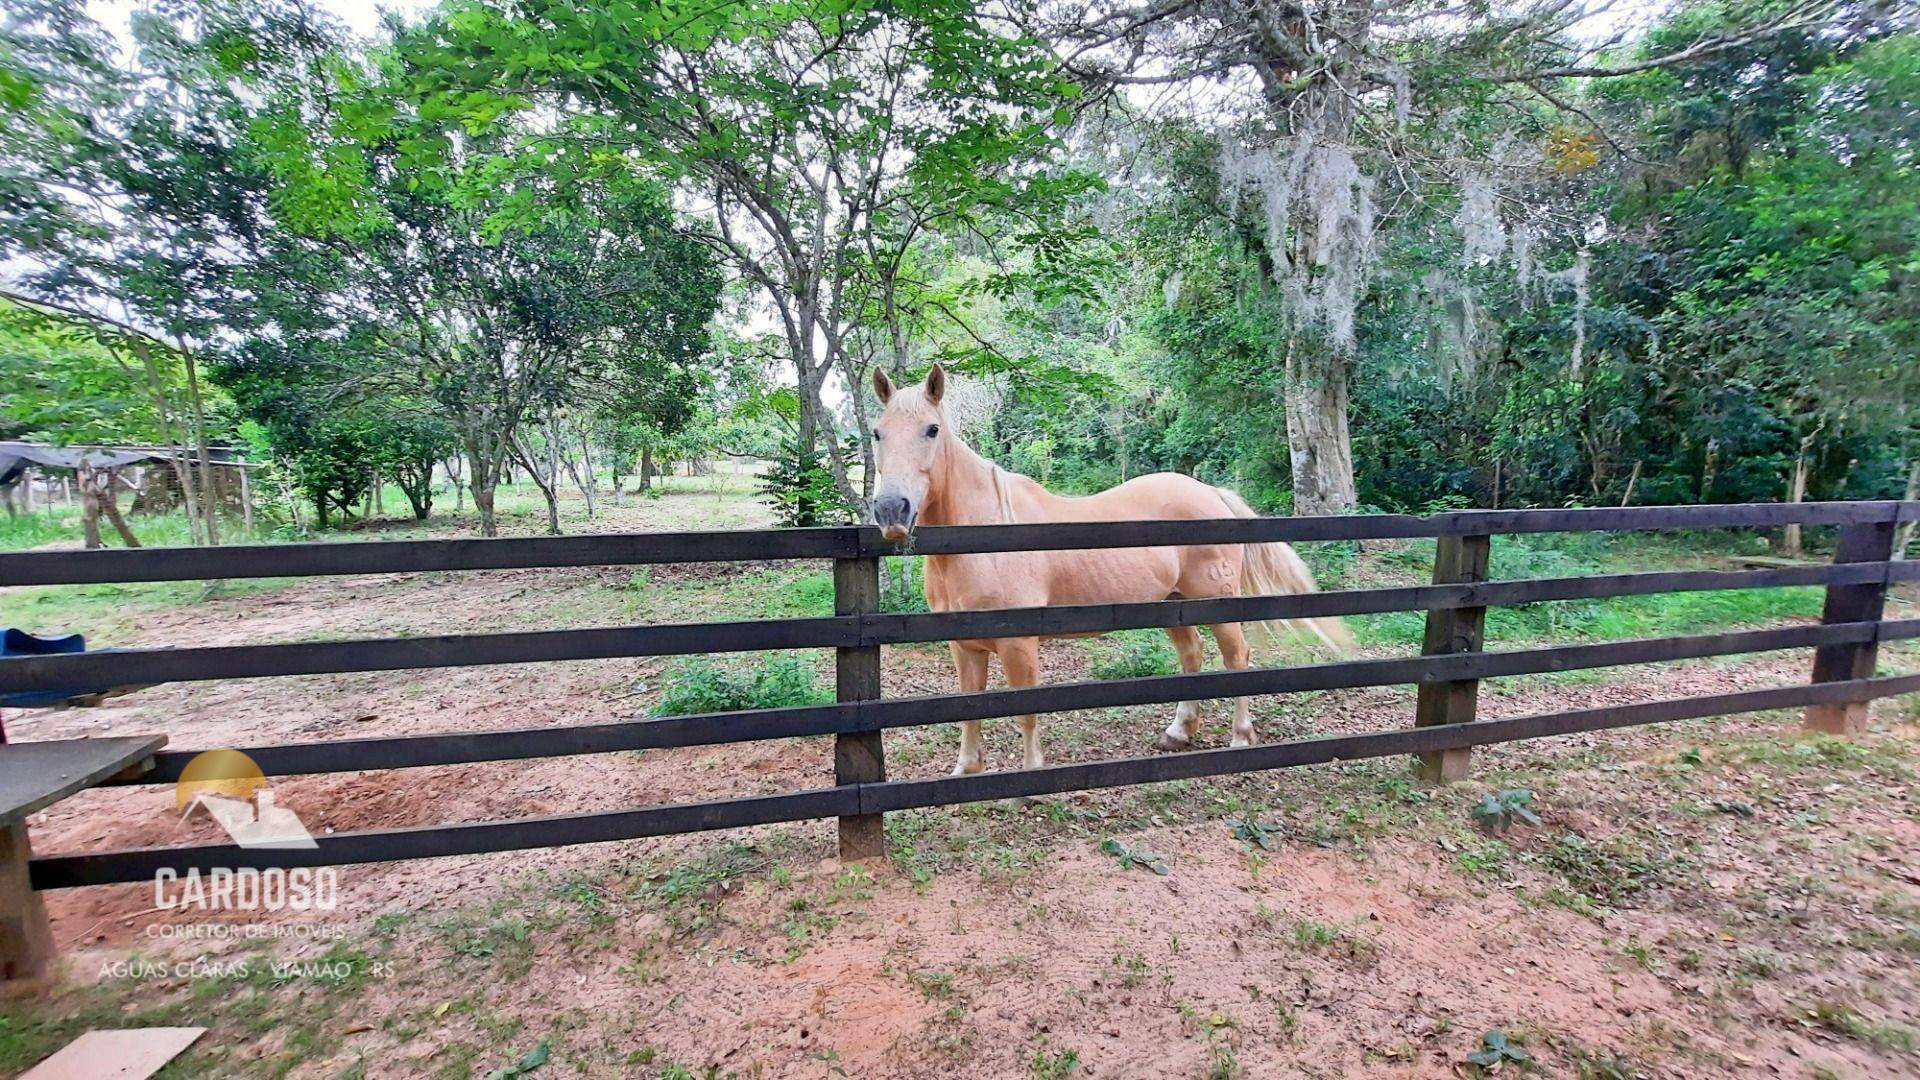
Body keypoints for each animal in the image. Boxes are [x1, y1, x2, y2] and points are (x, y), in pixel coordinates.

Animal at [871, 363, 1351, 772]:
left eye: (932, 430)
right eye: (877, 433)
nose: (892, 509)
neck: (984, 537)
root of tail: (1209, 493)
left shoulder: (1019, 644)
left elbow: (1025, 711)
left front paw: (1026, 782)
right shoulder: (963, 646)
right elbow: (969, 707)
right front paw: (967, 770)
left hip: (1217, 604)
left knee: (1236, 659)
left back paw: (1239, 737)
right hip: (1172, 604)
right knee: (1192, 655)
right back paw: (1179, 732)